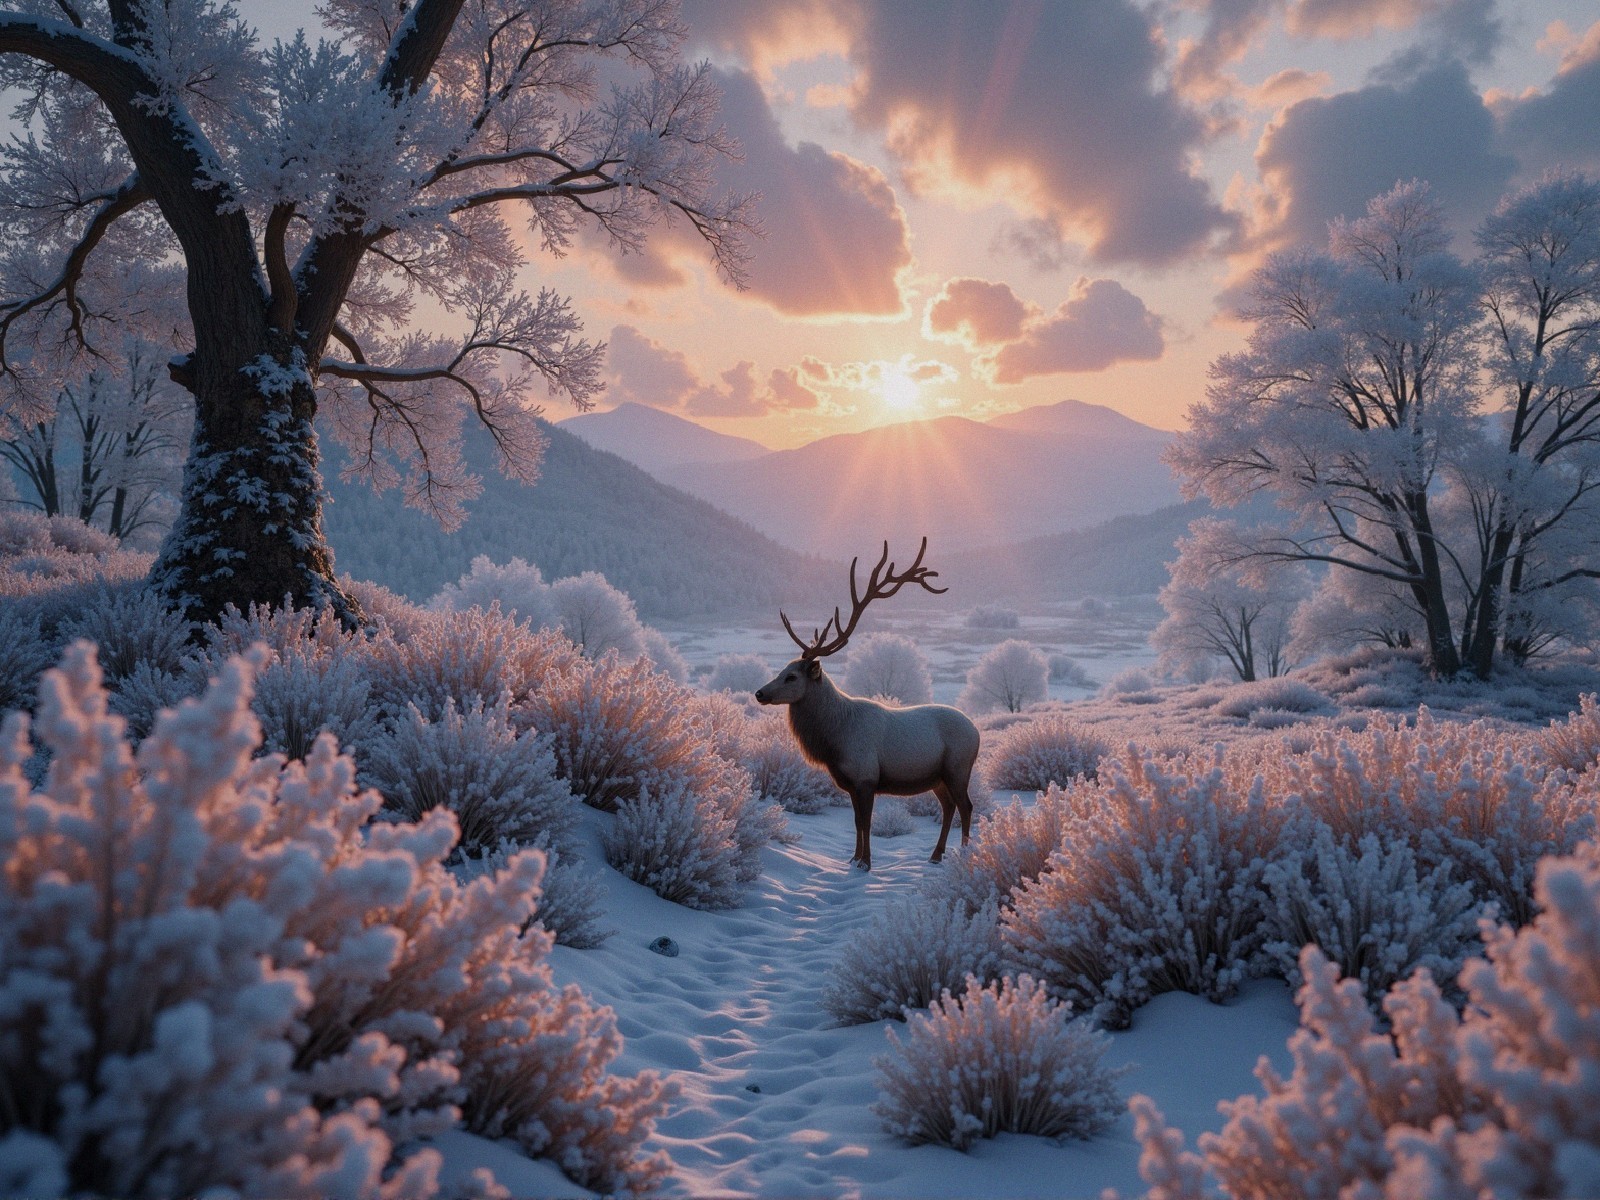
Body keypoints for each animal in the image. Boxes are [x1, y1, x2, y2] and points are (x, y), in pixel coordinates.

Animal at [754, 539, 980, 872]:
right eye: (781, 669)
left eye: (791, 676)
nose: (760, 693)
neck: (834, 740)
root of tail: (977, 732)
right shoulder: (850, 782)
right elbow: (857, 822)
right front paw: (854, 858)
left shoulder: (866, 776)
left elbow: (866, 822)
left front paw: (866, 863)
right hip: (938, 777)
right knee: (949, 807)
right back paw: (936, 854)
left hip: (958, 767)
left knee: (967, 806)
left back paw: (964, 854)